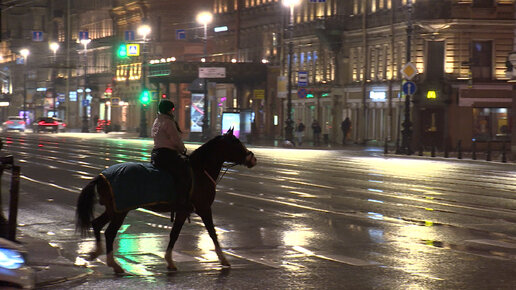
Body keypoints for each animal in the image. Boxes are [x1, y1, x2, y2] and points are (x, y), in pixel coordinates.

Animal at [74, 128, 256, 274]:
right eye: (236, 143)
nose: (253, 159)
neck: (200, 171)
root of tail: (101, 176)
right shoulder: (204, 208)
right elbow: (212, 233)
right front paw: (224, 259)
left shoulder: (183, 211)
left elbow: (174, 234)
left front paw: (169, 261)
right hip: (120, 211)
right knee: (109, 233)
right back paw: (114, 264)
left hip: (113, 210)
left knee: (97, 224)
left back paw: (95, 253)